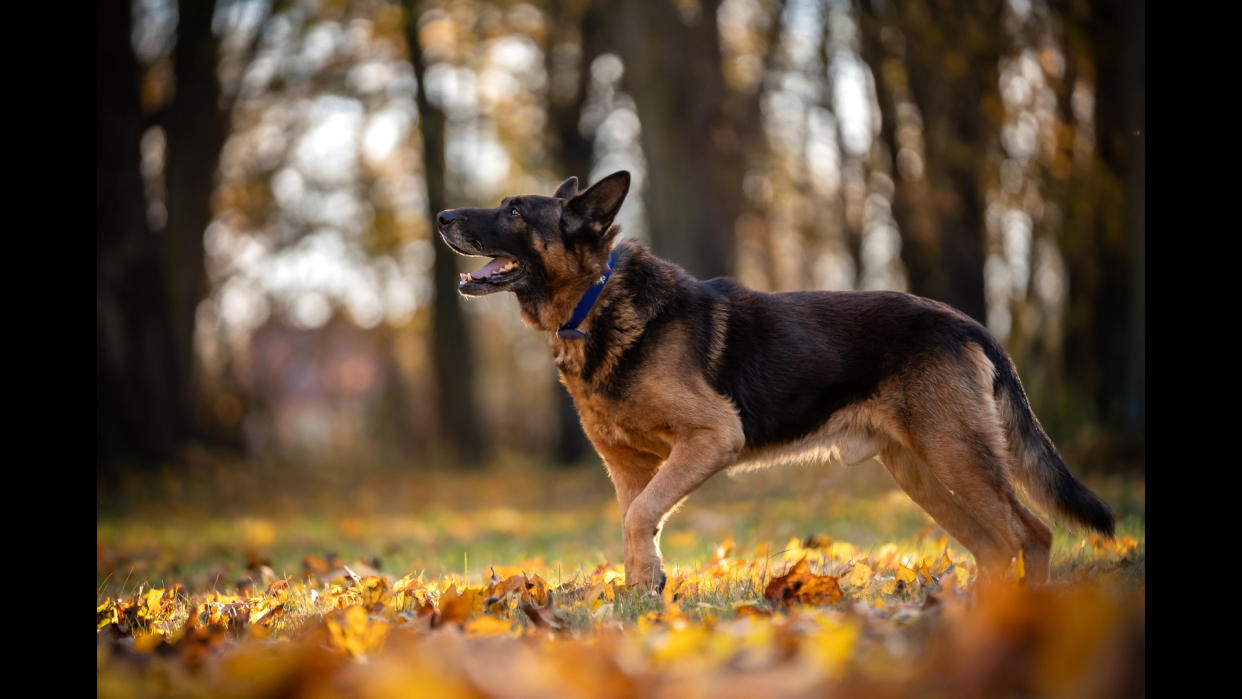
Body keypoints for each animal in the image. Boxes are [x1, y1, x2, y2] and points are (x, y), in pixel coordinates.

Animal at [437, 171, 1117, 590]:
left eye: (515, 211)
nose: (441, 215)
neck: (595, 303)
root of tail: (966, 322)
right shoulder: (629, 469)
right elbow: (636, 525)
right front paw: (642, 601)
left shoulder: (712, 437)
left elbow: (642, 518)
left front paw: (648, 588)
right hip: (922, 470)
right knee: (997, 547)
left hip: (956, 455)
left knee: (1030, 533)